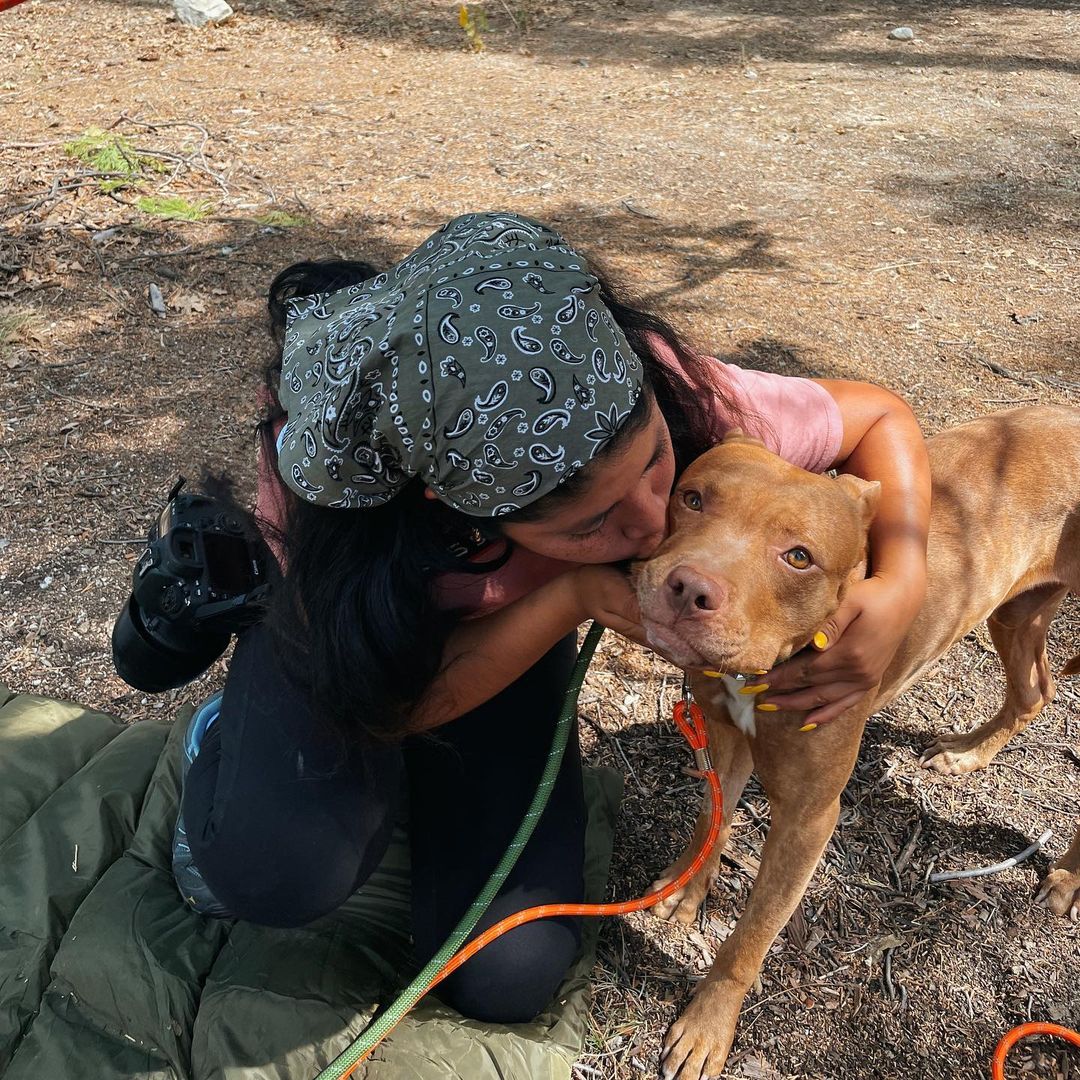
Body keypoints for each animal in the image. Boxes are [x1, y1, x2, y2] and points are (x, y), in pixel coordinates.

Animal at [635, 406, 1075, 1080]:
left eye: (798, 557)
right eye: (692, 498)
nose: (688, 587)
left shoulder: (809, 818)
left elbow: (749, 938)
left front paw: (708, 1027)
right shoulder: (727, 738)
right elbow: (714, 815)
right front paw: (688, 886)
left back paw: (1069, 878)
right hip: (1016, 613)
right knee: (1033, 693)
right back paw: (967, 754)